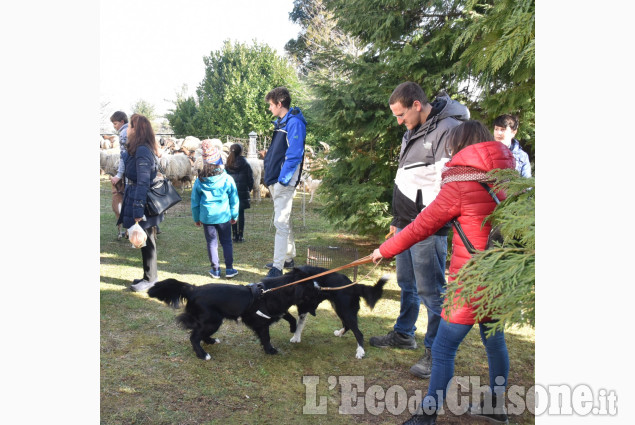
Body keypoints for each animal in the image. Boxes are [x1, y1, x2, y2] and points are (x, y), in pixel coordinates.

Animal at [148, 266, 388, 360]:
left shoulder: (277, 310)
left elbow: (288, 316)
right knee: (194, 336)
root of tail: (192, 288)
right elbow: (266, 335)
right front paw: (271, 350)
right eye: (312, 288)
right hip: (212, 319)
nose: (322, 288)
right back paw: (203, 353)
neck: (279, 288)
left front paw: (292, 330)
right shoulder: (261, 320)